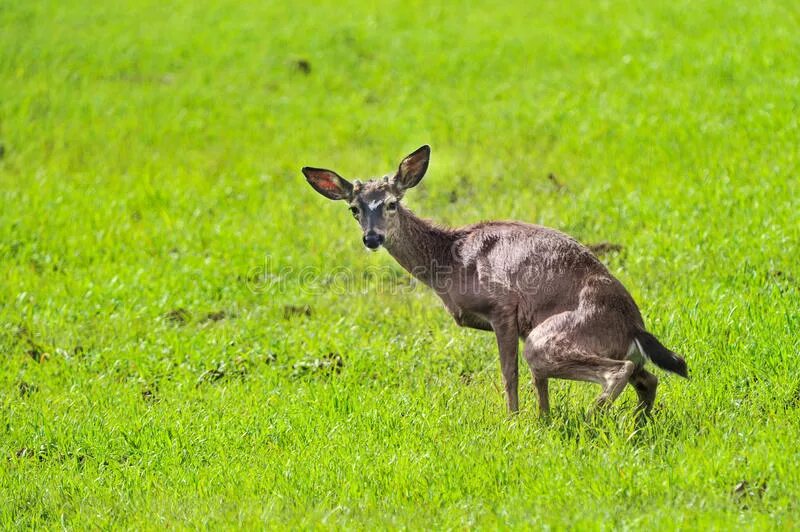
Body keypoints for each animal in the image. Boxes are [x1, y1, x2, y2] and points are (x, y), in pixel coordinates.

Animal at [302, 144, 688, 416]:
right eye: (354, 209)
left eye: (392, 203)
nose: (372, 238)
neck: (451, 260)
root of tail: (633, 324)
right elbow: (534, 385)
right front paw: (540, 421)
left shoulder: (503, 305)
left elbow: (509, 373)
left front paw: (513, 421)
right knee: (648, 377)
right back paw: (633, 425)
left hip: (549, 337)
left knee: (618, 370)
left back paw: (591, 419)